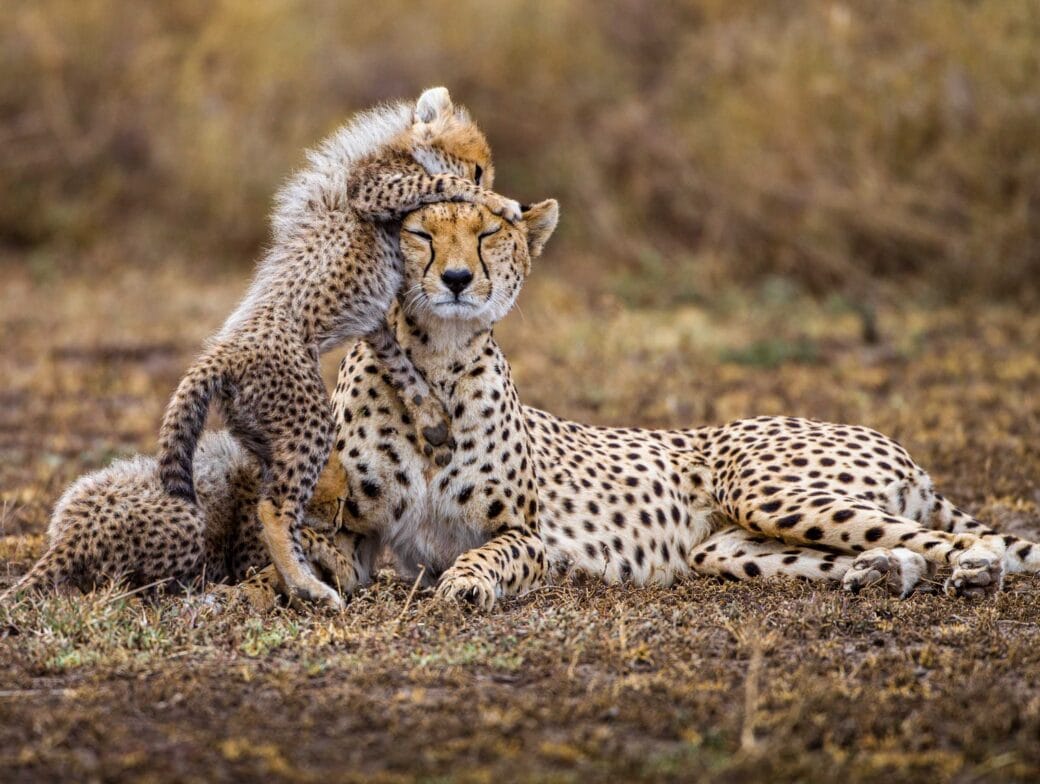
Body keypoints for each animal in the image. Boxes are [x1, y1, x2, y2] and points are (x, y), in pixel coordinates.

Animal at [157, 86, 521, 609]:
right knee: (272, 508)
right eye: (477, 169)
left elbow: (401, 364)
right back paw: (309, 586)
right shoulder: (373, 187)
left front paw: (432, 418)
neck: (397, 147)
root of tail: (219, 354)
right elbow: (441, 180)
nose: (492, 189)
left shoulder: (375, 319)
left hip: (267, 433)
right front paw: (500, 201)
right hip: (307, 421)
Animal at [316, 199, 1040, 608]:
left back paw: (975, 572)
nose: (458, 279)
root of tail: (900, 449)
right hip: (726, 549)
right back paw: (882, 575)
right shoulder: (352, 526)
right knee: (910, 551)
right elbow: (326, 551)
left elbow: (486, 554)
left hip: (771, 493)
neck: (434, 365)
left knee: (964, 540)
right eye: (421, 236)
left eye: (489, 233)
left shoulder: (530, 535)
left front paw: (466, 583)